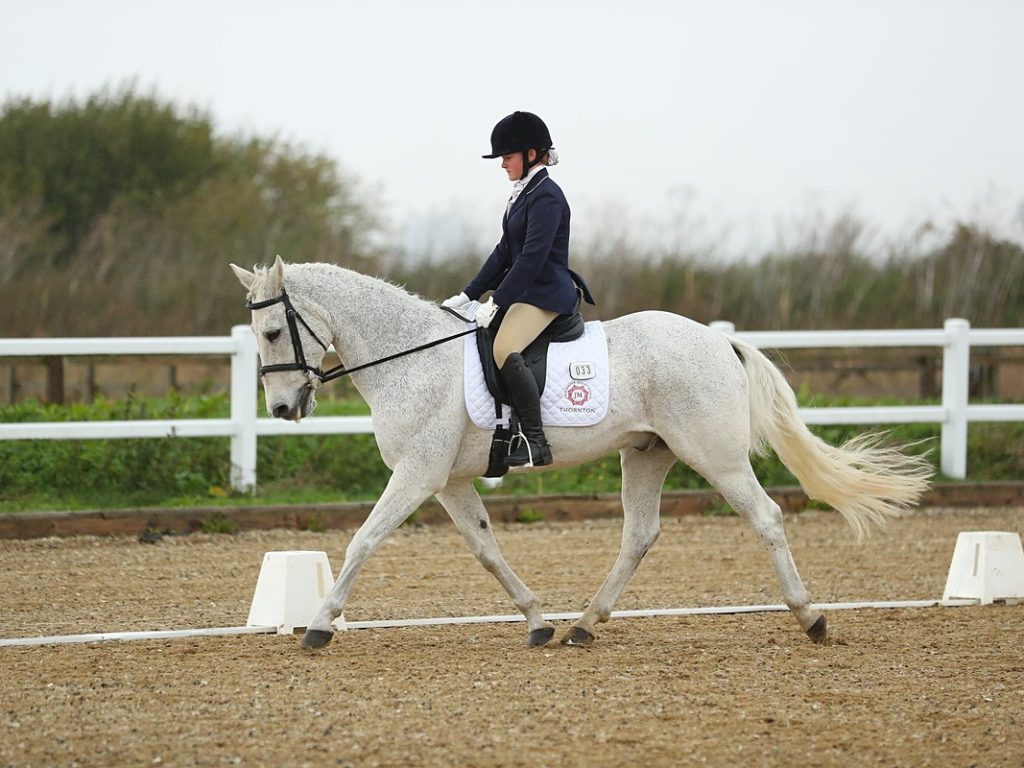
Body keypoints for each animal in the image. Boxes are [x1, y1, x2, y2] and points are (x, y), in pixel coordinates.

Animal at [232, 257, 937, 651]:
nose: (283, 410)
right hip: (647, 454)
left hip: (715, 455)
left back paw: (811, 618)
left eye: (273, 331)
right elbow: (487, 549)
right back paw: (583, 626)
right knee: (640, 534)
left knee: (765, 518)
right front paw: (537, 620)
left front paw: (320, 624)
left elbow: (363, 540)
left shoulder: (417, 473)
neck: (411, 357)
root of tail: (718, 341)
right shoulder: (448, 480)